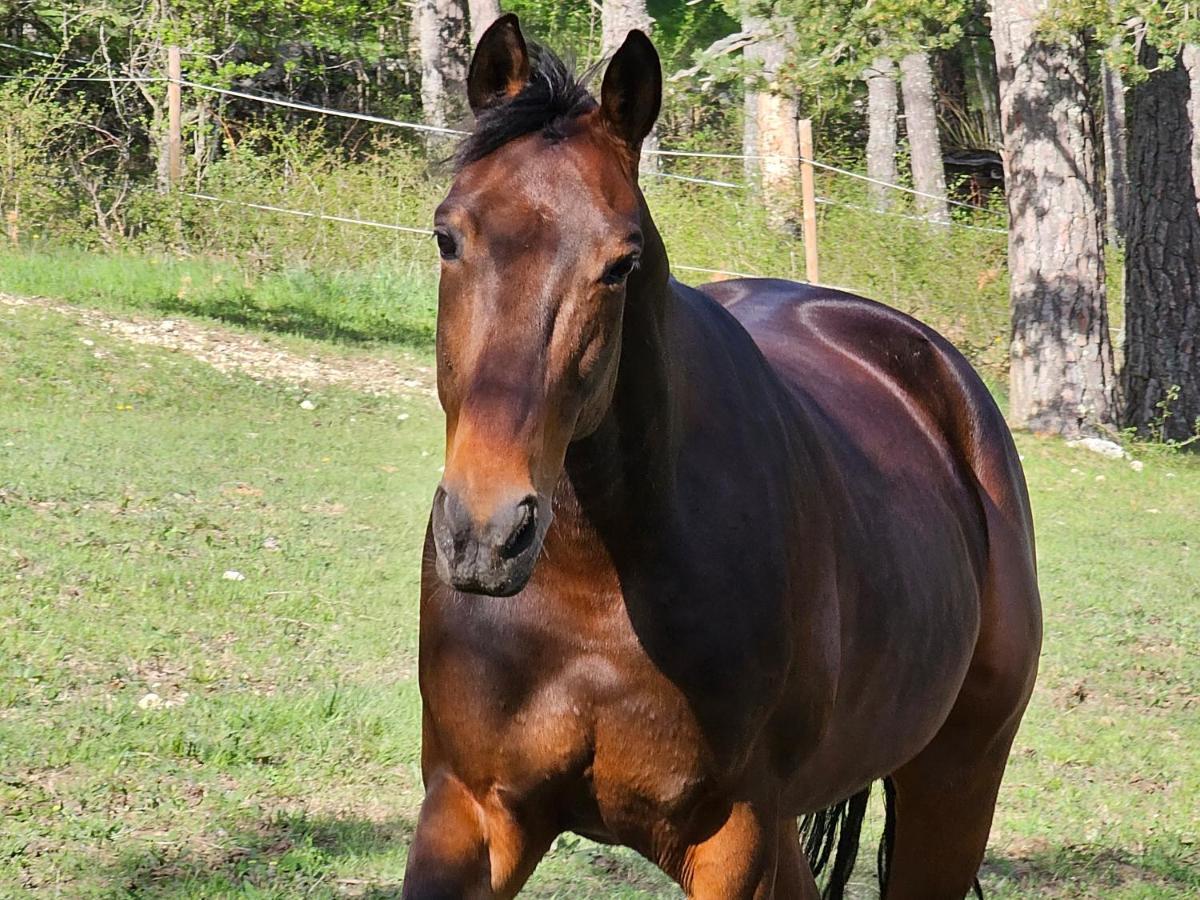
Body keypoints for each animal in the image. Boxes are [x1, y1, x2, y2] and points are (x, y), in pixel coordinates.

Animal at [403, 15, 1041, 900]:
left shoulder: (732, 836)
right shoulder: (471, 806)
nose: (487, 535)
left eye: (621, 263)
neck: (595, 581)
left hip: (954, 784)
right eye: (447, 236)